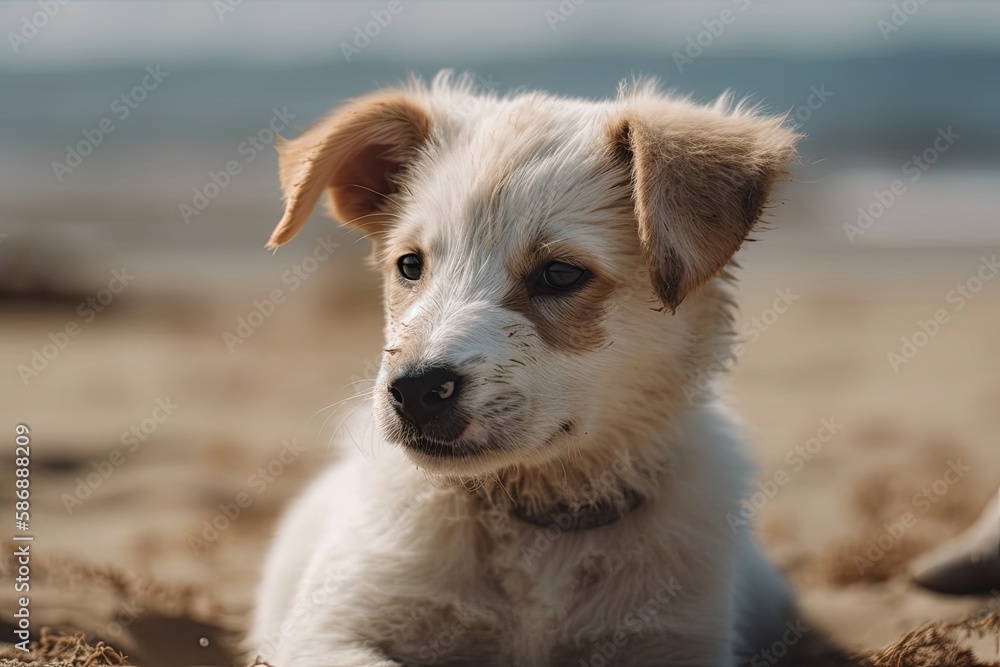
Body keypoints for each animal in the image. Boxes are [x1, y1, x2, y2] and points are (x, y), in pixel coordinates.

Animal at [248, 73, 796, 667]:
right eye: (410, 265)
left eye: (560, 274)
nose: (413, 391)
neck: (539, 526)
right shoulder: (325, 629)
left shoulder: (675, 638)